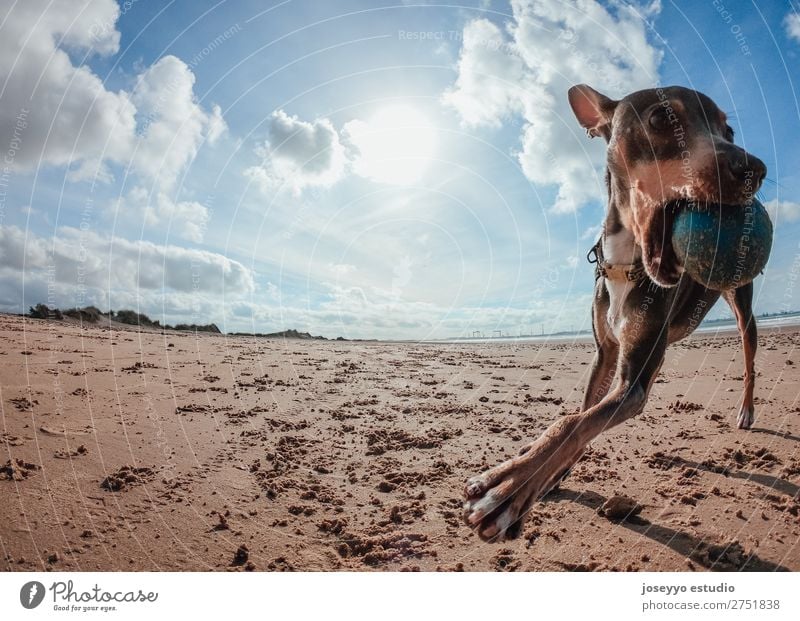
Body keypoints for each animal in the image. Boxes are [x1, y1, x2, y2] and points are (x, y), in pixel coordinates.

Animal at [462, 85, 768, 540]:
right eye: (660, 118)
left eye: (727, 130)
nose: (754, 169)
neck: (626, 263)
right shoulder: (606, 356)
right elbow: (582, 414)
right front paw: (548, 478)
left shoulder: (630, 380)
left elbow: (573, 423)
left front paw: (507, 489)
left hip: (741, 305)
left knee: (748, 359)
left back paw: (746, 410)